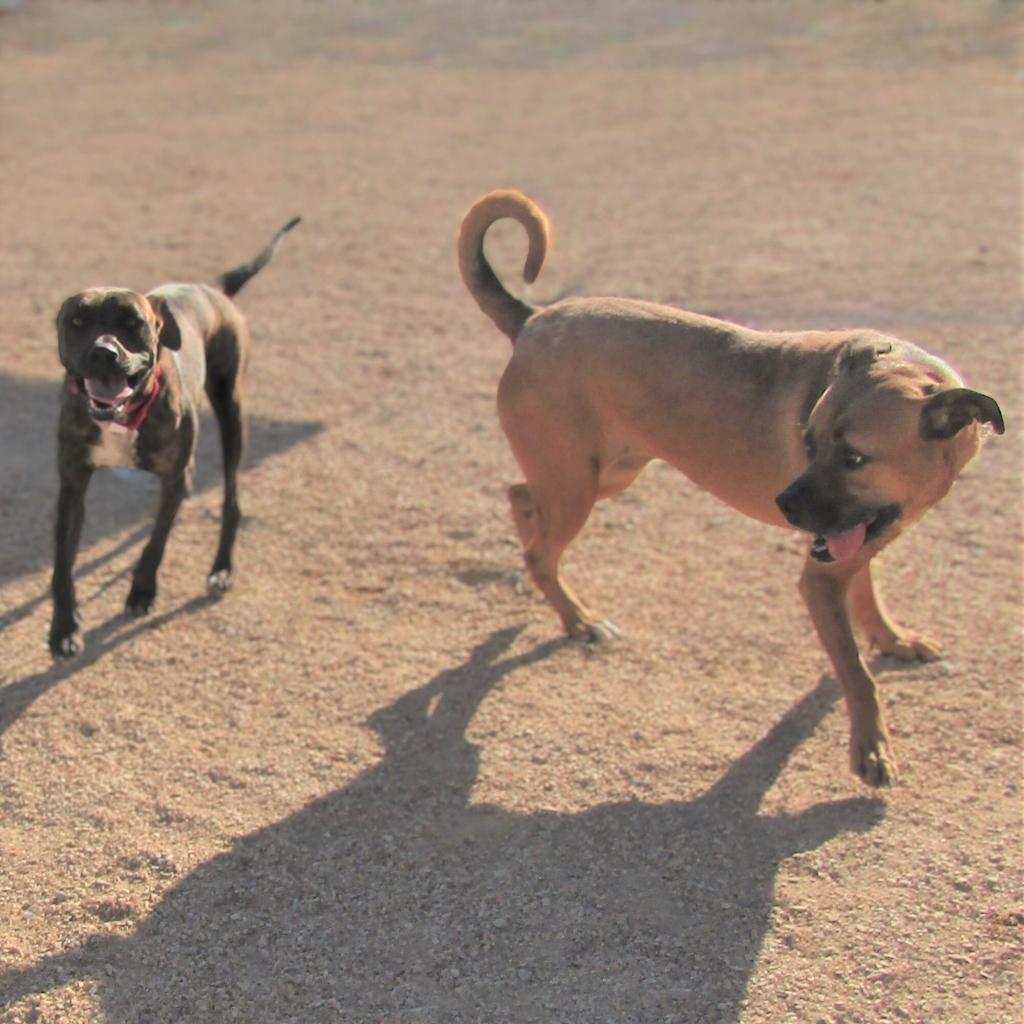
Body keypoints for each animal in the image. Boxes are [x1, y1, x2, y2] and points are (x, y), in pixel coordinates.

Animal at [49, 220, 299, 659]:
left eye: (133, 322)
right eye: (77, 322)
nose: (103, 353)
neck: (123, 417)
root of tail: (211, 289)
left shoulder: (174, 477)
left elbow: (156, 542)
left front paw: (141, 592)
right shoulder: (73, 486)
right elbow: (64, 562)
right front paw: (64, 628)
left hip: (232, 412)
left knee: (232, 500)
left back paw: (221, 569)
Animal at [460, 190, 1003, 782]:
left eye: (855, 457)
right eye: (808, 440)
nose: (784, 504)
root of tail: (532, 320)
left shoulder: (859, 536)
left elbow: (869, 599)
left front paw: (893, 640)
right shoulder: (821, 577)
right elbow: (857, 673)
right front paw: (872, 746)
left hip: (603, 472)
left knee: (522, 500)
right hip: (577, 484)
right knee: (541, 548)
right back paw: (578, 619)